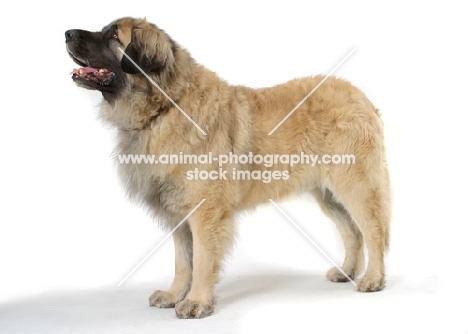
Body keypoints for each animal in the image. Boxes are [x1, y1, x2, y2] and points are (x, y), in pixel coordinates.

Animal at [64, 17, 390, 318]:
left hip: (354, 185)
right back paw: (346, 271)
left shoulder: (206, 211)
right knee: (352, 233)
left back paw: (373, 278)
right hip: (327, 193)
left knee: (373, 230)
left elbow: (202, 260)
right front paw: (174, 294)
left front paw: (196, 301)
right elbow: (183, 261)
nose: (67, 33)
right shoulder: (178, 212)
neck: (167, 105)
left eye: (112, 35)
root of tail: (360, 96)